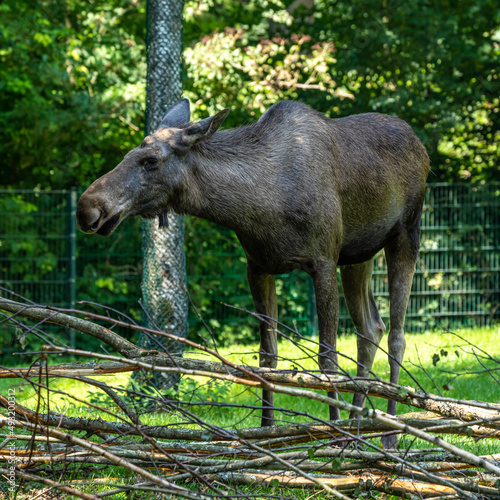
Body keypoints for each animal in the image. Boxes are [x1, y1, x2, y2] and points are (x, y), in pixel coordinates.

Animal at [78, 99, 430, 448]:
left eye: (150, 159)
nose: (87, 207)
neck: (254, 206)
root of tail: (421, 147)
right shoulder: (258, 267)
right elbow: (267, 357)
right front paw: (267, 431)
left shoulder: (323, 261)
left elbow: (327, 358)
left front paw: (332, 433)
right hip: (358, 256)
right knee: (370, 329)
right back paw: (361, 425)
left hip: (405, 234)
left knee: (397, 335)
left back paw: (388, 434)